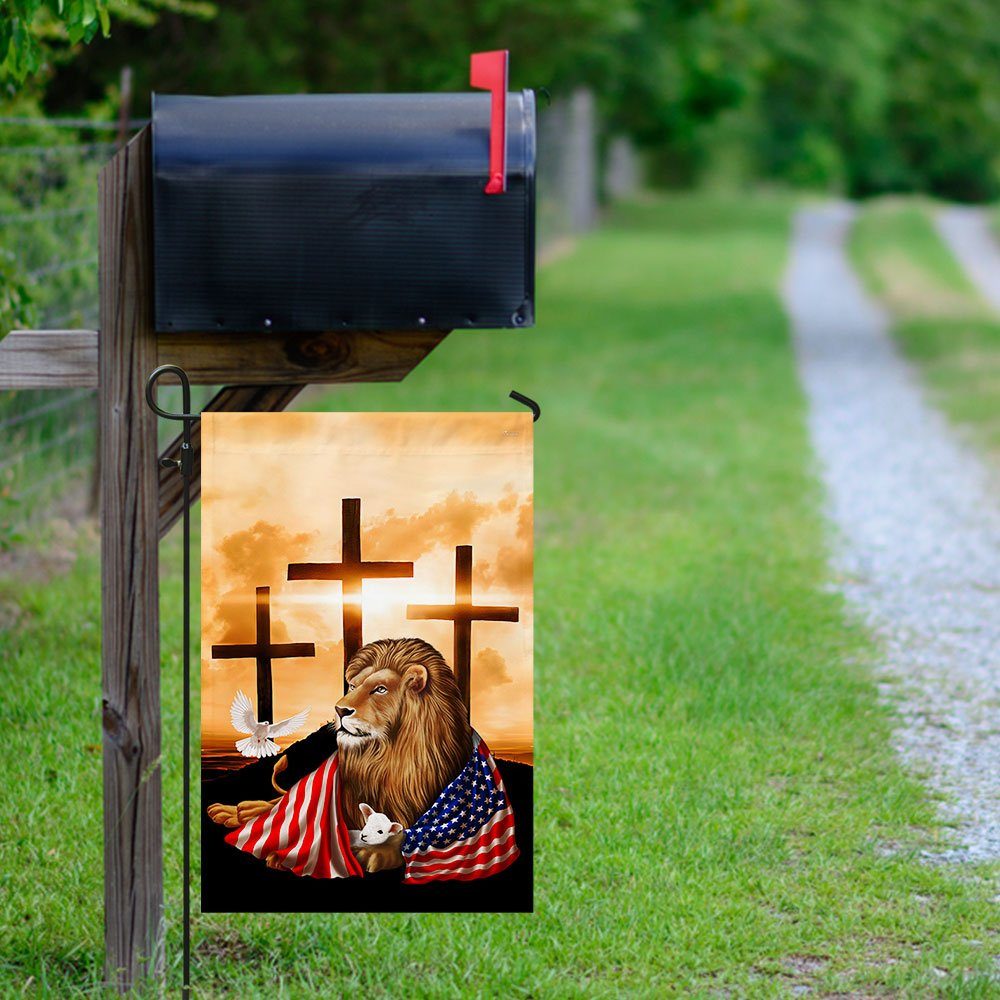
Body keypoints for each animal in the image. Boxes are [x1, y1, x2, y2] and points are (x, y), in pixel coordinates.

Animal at [208, 637, 472, 874]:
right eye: (353, 687)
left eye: (380, 689)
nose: (339, 709)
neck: (386, 758)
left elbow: (405, 834)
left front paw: (375, 852)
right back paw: (234, 811)